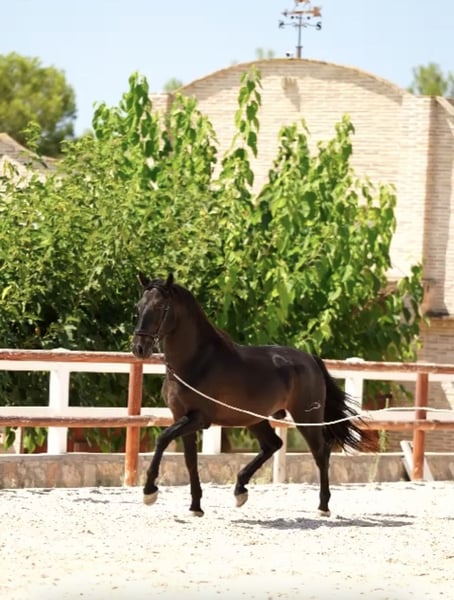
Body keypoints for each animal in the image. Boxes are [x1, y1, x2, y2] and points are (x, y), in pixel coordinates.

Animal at [131, 274, 368, 517]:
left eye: (161, 307)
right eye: (139, 306)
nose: (139, 348)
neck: (195, 362)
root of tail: (310, 359)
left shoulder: (199, 418)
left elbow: (162, 439)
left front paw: (149, 492)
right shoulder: (181, 417)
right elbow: (190, 460)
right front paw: (195, 506)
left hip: (305, 417)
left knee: (321, 451)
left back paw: (323, 506)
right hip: (253, 418)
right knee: (273, 445)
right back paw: (240, 490)